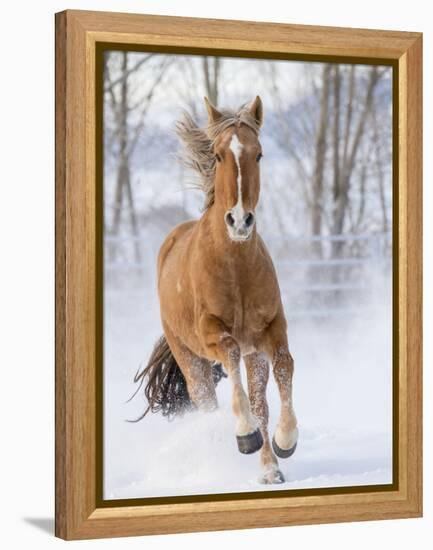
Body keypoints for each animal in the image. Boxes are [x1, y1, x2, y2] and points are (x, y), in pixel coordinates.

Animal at [135, 97, 296, 486]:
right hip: (190, 359)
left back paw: (270, 469)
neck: (235, 267)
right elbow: (230, 354)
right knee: (207, 403)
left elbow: (285, 365)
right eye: (219, 155)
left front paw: (285, 441)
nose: (239, 221)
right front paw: (245, 435)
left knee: (260, 403)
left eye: (259, 154)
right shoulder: (213, 335)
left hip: (253, 355)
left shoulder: (270, 331)